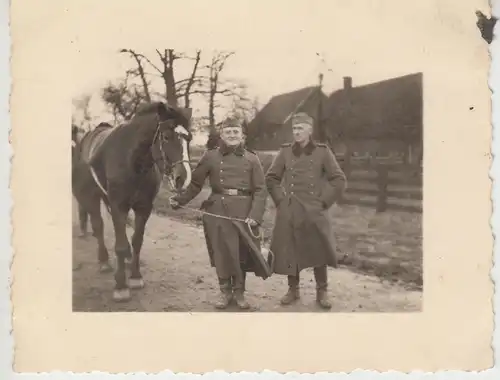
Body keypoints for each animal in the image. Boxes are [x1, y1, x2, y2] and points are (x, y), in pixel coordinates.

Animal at [72, 101, 193, 302]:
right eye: (166, 137)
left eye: (188, 139)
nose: (182, 179)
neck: (132, 163)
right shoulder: (118, 206)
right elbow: (120, 245)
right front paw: (121, 286)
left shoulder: (143, 208)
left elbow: (137, 240)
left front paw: (135, 276)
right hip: (90, 197)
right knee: (98, 225)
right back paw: (104, 261)